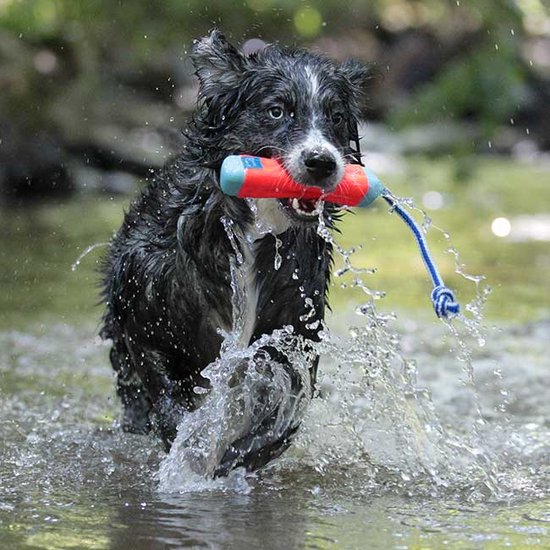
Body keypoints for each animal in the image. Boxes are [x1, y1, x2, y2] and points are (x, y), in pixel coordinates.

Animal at [102, 31, 370, 478]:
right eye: (277, 110)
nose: (321, 162)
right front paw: (185, 446)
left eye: (335, 116)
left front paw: (238, 454)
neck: (252, 229)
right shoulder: (145, 314)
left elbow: (278, 409)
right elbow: (163, 390)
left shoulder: (292, 332)